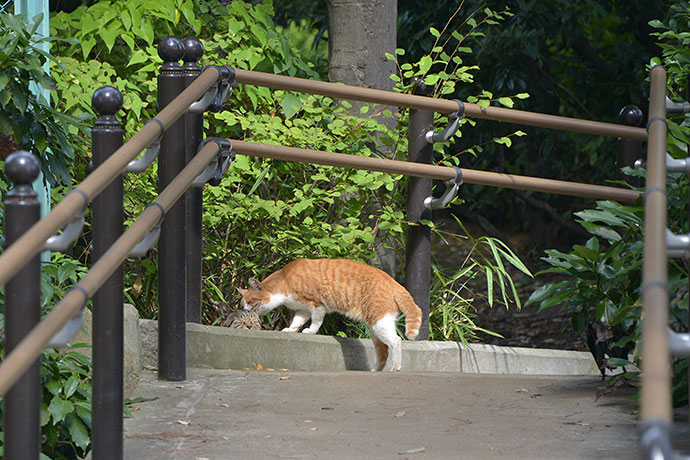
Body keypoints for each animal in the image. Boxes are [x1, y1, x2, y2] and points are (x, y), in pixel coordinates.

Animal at [236, 258, 420, 370]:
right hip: (375, 327)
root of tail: (394, 281)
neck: (285, 280)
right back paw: (375, 371)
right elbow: (297, 321)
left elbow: (316, 322)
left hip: (379, 322)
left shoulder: (317, 305)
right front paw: (290, 330)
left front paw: (310, 331)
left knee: (396, 341)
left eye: (250, 301)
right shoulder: (303, 309)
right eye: (242, 304)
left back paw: (395, 368)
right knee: (383, 350)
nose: (244, 310)